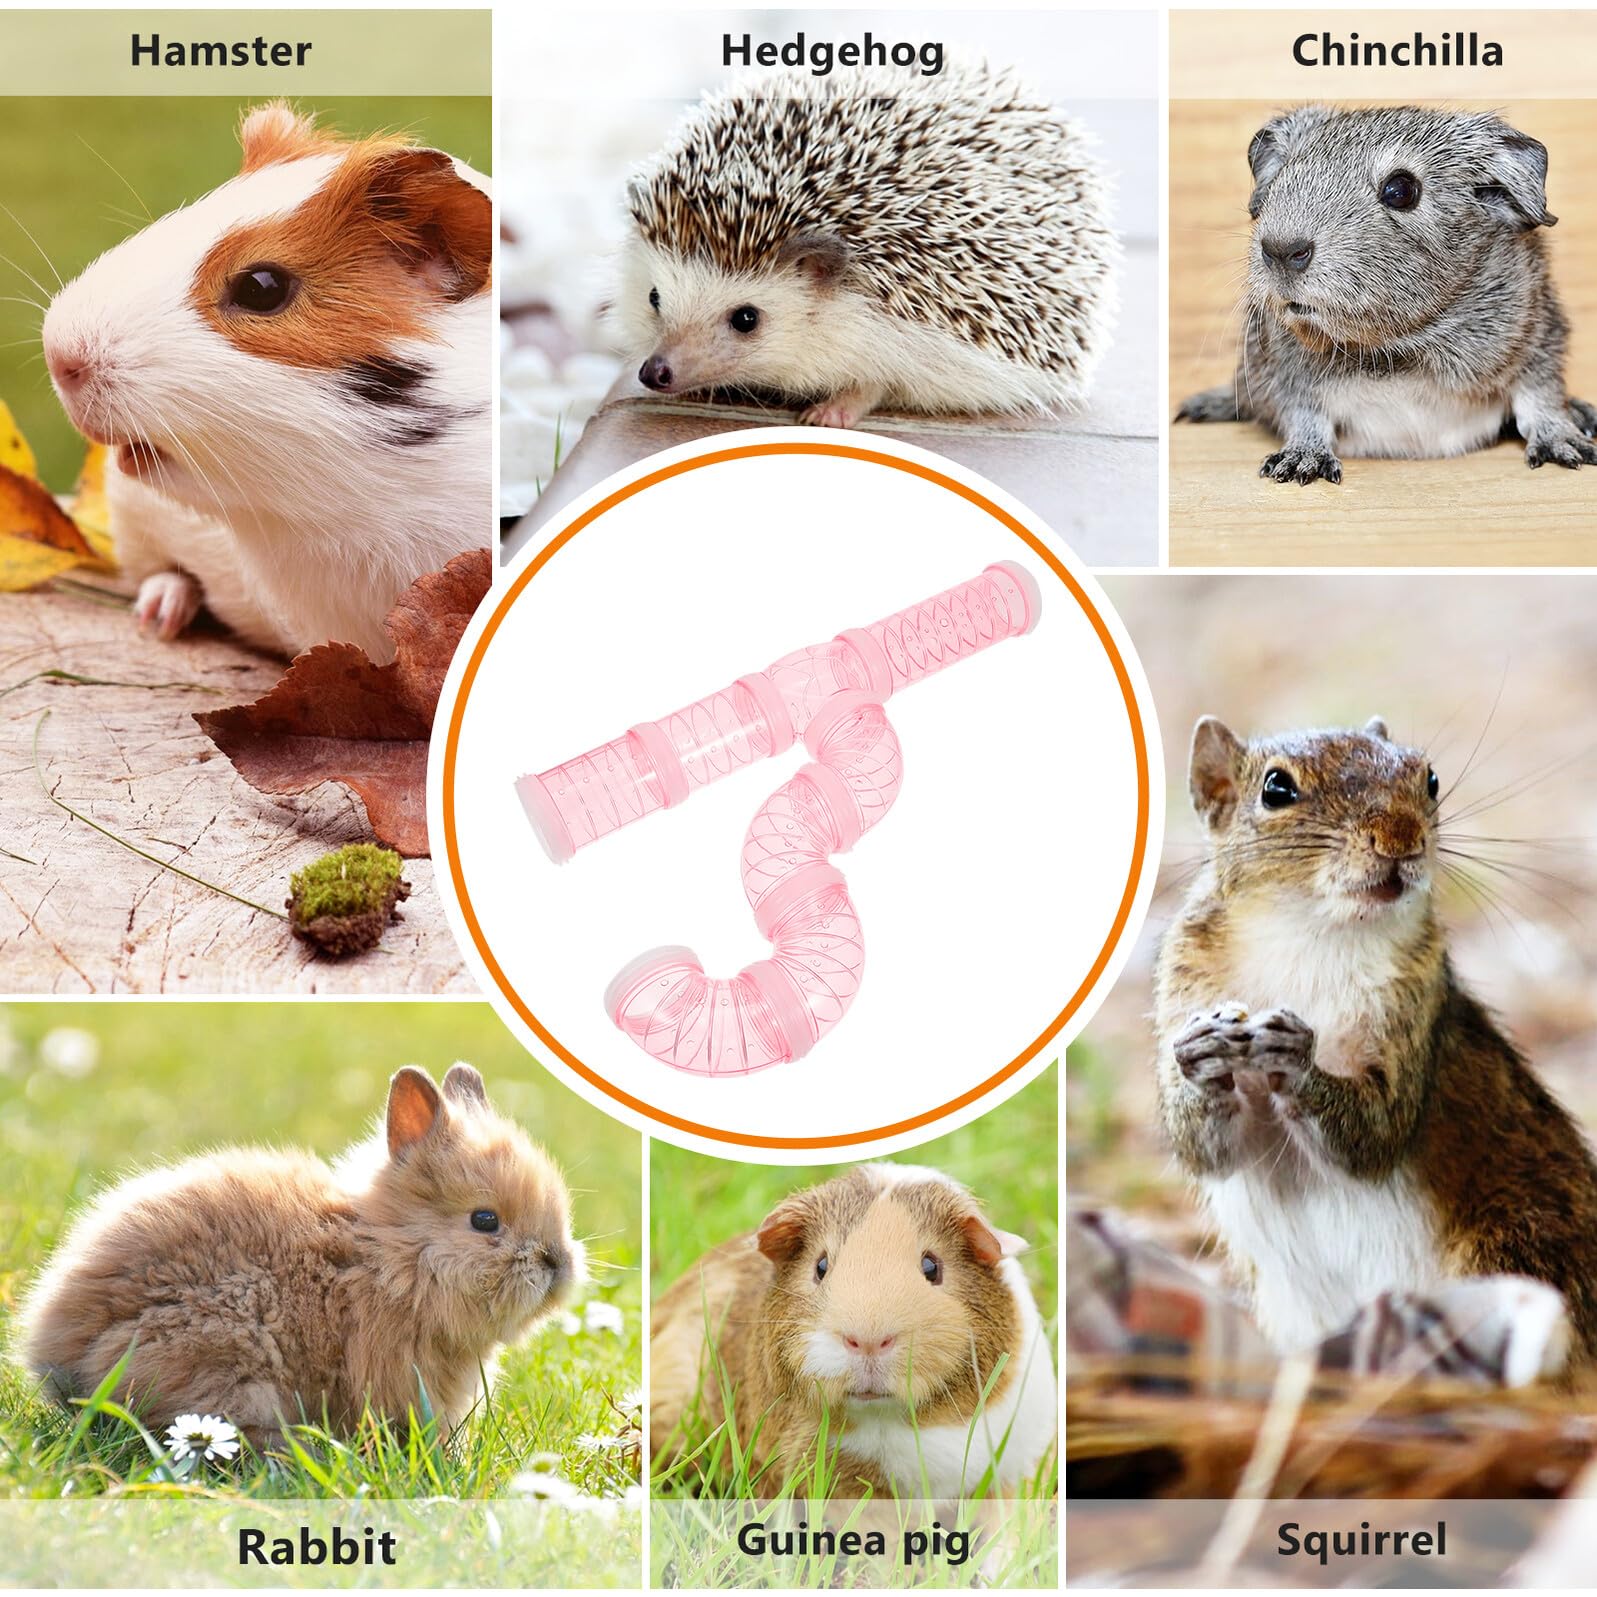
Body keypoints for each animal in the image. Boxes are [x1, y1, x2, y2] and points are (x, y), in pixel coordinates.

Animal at [1154, 716, 1597, 1358]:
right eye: (1276, 790)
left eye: (1429, 778)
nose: (1400, 837)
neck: (1313, 932)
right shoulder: (1183, 985)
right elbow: (1203, 1148)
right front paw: (1201, 1057)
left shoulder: (1417, 1006)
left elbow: (1376, 1132)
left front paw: (1298, 1059)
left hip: (1519, 1247)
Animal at [1177, 106, 1597, 484]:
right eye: (1282, 175)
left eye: (1401, 189)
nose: (1280, 250)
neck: (1396, 349)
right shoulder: (1286, 375)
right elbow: (1305, 415)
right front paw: (1299, 464)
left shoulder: (1539, 340)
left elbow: (1539, 399)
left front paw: (1569, 447)